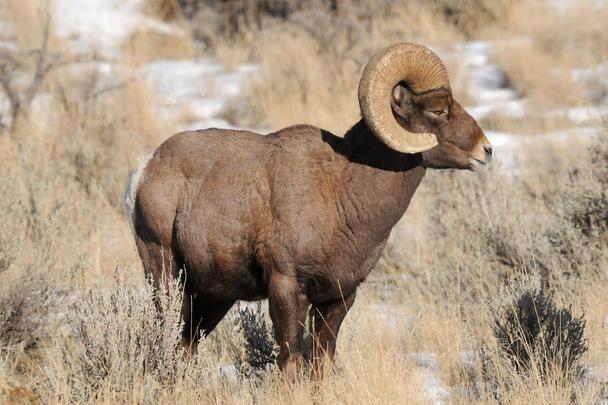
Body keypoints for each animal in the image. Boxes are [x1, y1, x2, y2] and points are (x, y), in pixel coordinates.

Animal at [126, 42, 492, 378]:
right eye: (438, 111)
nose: (486, 151)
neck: (342, 194)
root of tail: (145, 170)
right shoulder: (287, 287)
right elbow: (291, 362)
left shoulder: (339, 298)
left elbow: (320, 363)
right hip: (165, 273)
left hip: (213, 295)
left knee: (186, 345)